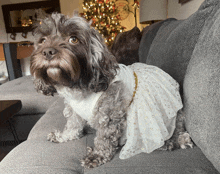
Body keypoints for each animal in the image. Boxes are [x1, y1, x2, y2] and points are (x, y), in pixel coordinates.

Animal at [29, 12, 192, 168]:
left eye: (73, 39)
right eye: (43, 40)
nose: (48, 52)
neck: (78, 87)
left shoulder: (109, 115)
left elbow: (104, 138)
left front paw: (97, 156)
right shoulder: (75, 111)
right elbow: (73, 125)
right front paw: (63, 136)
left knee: (175, 135)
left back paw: (173, 141)